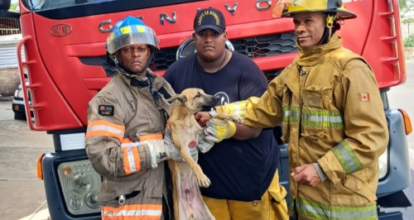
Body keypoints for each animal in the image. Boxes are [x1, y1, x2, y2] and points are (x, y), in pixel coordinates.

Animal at [166, 88, 241, 220]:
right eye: (197, 95)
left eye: (203, 91)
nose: (217, 98)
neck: (185, 119)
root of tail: (192, 215)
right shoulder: (183, 149)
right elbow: (195, 164)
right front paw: (202, 177)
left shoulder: (202, 132)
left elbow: (217, 116)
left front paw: (232, 117)